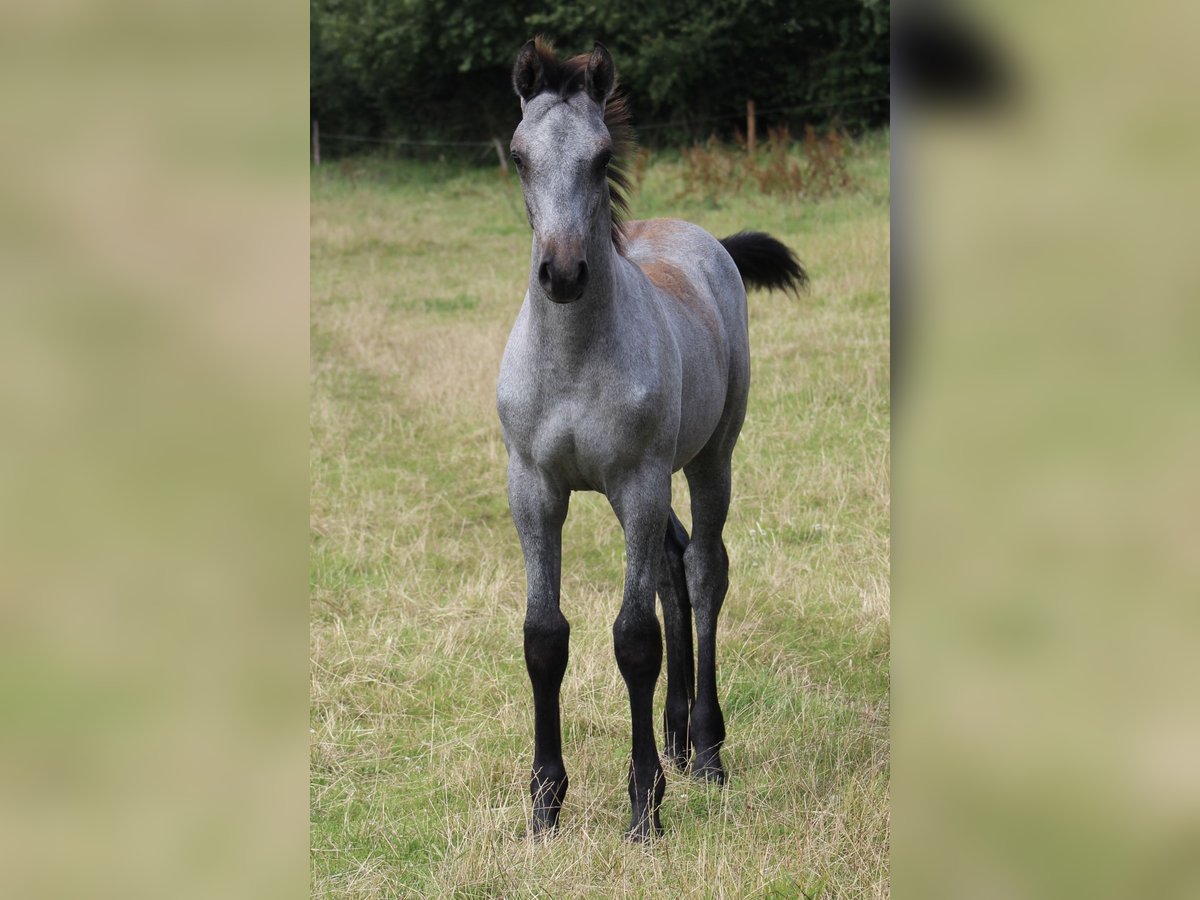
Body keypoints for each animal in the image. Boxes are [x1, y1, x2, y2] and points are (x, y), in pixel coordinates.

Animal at [496, 40, 806, 844]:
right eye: (519, 155)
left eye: (603, 156)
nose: (562, 273)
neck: (573, 361)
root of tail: (706, 241)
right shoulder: (534, 488)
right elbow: (544, 637)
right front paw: (545, 804)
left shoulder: (637, 481)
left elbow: (635, 640)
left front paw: (644, 805)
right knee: (671, 567)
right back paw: (675, 731)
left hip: (705, 460)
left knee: (702, 570)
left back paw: (706, 746)